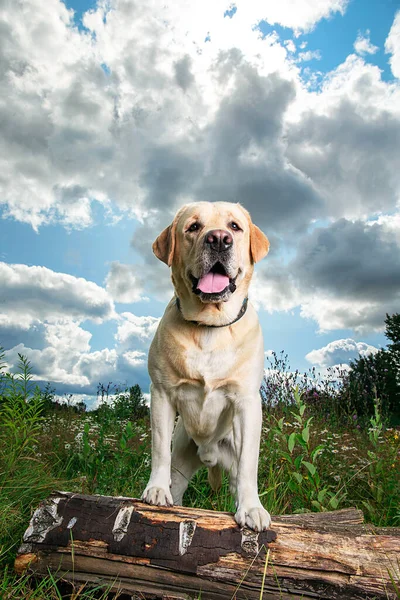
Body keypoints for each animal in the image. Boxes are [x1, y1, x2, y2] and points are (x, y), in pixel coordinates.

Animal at [142, 202, 270, 528]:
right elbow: (159, 449)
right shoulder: (161, 394)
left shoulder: (247, 402)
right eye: (193, 227)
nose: (219, 239)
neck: (210, 327)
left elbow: (250, 464)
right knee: (177, 479)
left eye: (235, 227)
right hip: (183, 459)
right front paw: (156, 490)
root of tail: (208, 454)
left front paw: (252, 509)